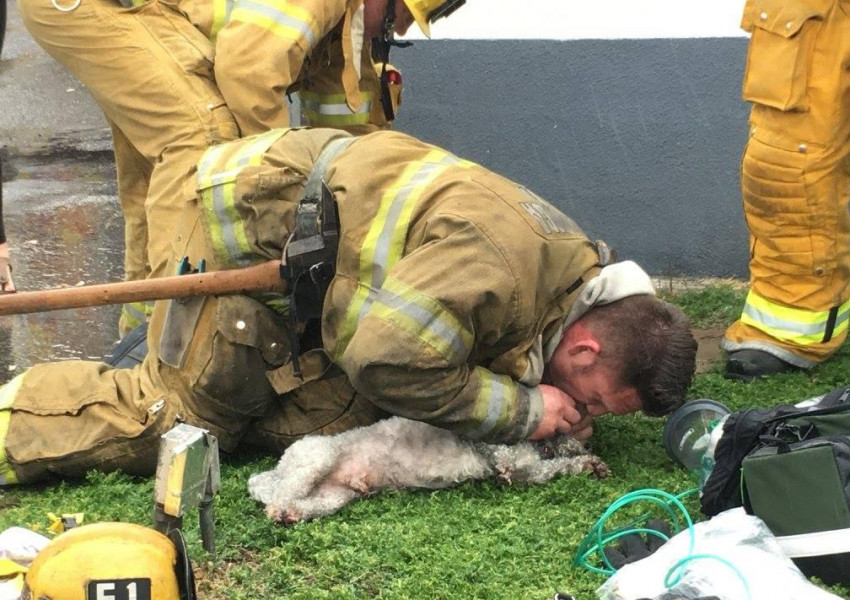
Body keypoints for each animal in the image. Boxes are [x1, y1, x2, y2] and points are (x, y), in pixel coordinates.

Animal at [248, 414, 608, 524]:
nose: (589, 443)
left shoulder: (532, 471)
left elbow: (555, 467)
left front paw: (590, 465)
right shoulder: (512, 459)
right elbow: (520, 461)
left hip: (334, 497)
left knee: (304, 504)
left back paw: (292, 515)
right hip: (316, 457)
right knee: (278, 495)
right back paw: (279, 511)